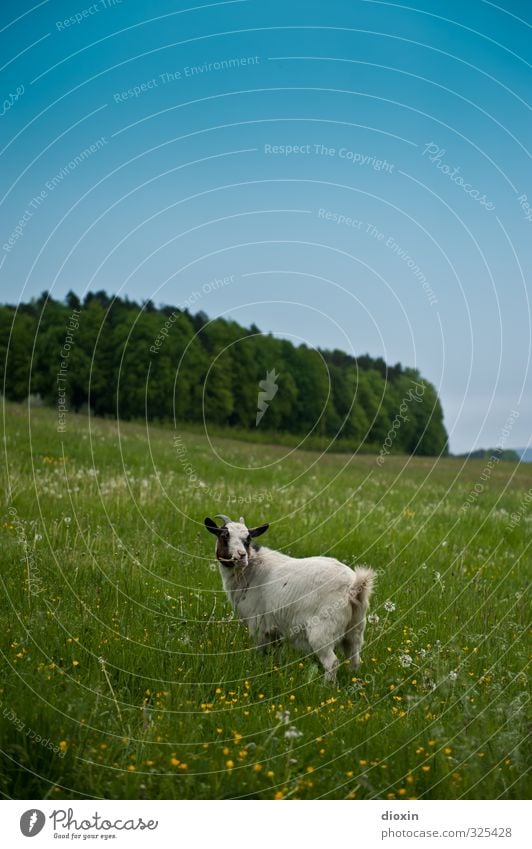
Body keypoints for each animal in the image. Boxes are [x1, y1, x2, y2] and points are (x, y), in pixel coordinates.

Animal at [204, 510, 374, 684]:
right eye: (224, 535)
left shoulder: (257, 625)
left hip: (323, 630)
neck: (250, 571)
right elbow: (276, 656)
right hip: (355, 629)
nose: (241, 556)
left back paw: (326, 687)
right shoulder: (275, 629)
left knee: (331, 662)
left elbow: (261, 654)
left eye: (248, 538)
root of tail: (353, 586)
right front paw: (273, 673)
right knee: (355, 660)